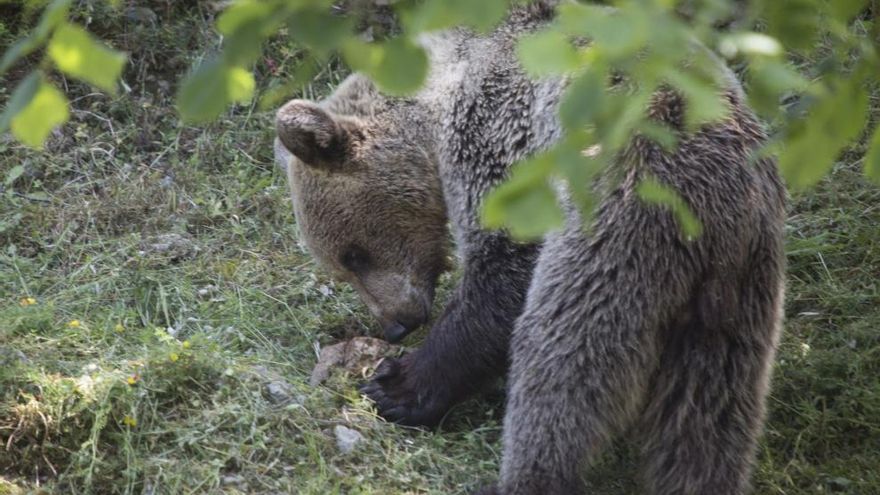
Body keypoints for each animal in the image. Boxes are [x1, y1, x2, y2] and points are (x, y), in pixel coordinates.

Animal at [274, 1, 784, 494]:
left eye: (353, 255)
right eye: (344, 265)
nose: (397, 325)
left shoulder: (502, 126)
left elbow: (508, 260)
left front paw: (395, 386)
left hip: (621, 231)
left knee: (563, 355)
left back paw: (522, 475)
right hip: (738, 293)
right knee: (708, 411)